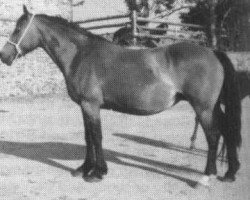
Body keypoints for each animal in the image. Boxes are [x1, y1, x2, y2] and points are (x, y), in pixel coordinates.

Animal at [0, 5, 242, 184]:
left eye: (18, 29)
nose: (4, 56)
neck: (81, 55)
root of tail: (213, 52)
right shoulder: (84, 106)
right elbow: (88, 137)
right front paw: (84, 169)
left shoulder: (90, 105)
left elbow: (96, 137)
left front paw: (97, 173)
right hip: (213, 107)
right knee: (227, 130)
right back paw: (230, 174)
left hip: (203, 108)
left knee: (213, 136)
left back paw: (206, 177)